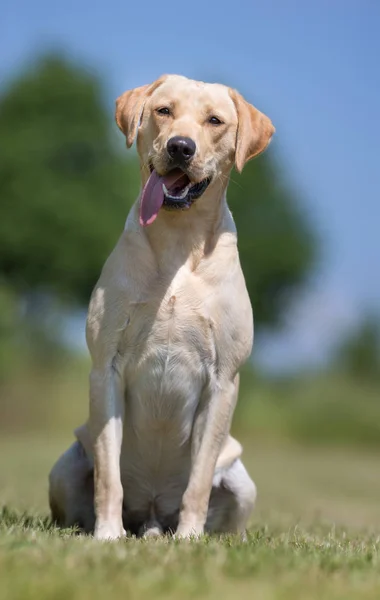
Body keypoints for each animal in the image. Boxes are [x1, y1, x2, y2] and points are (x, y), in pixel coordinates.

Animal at [49, 74, 274, 540]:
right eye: (163, 111)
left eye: (215, 120)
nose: (180, 147)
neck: (178, 239)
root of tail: (152, 514)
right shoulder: (106, 368)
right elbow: (109, 473)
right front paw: (108, 534)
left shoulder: (223, 381)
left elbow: (199, 479)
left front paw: (189, 538)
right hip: (65, 466)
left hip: (242, 483)